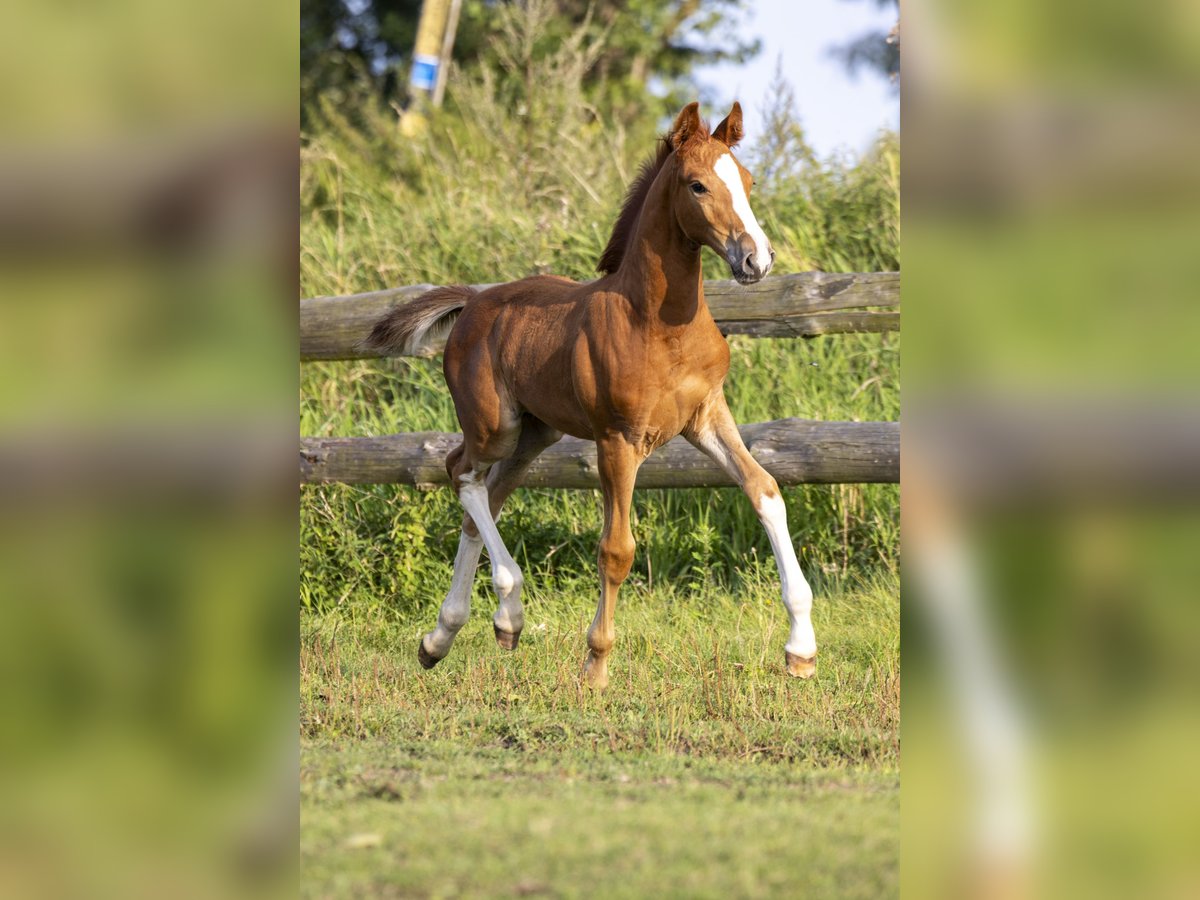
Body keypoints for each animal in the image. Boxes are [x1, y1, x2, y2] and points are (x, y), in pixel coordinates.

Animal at [364, 100, 816, 691]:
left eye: (748, 180)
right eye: (697, 186)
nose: (756, 261)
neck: (658, 324)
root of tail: (474, 302)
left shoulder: (706, 417)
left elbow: (765, 491)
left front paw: (801, 649)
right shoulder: (618, 440)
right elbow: (617, 549)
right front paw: (595, 665)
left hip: (535, 435)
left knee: (483, 497)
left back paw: (447, 636)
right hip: (495, 426)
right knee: (460, 472)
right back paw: (505, 608)